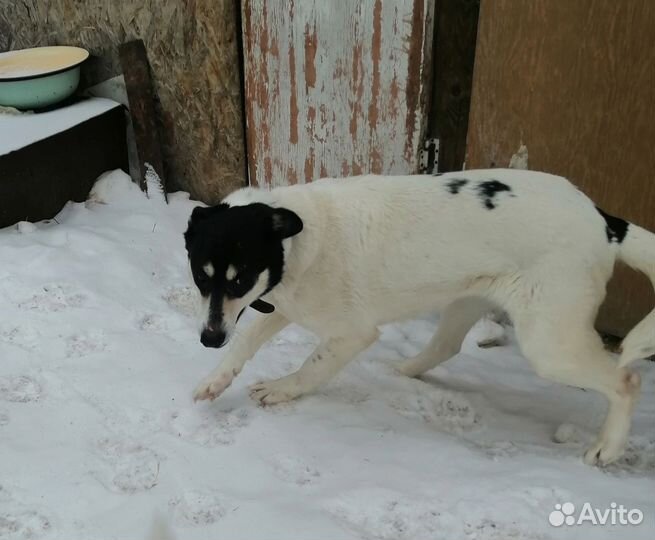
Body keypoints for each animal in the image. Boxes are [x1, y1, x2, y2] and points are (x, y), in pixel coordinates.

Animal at [182, 171, 652, 466]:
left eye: (240, 277)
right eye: (200, 276)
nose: (208, 339)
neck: (298, 241)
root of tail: (603, 220)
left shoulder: (349, 332)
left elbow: (309, 368)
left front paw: (280, 390)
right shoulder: (277, 304)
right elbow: (244, 341)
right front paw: (214, 380)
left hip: (549, 341)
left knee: (626, 379)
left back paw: (608, 448)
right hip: (468, 299)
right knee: (446, 345)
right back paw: (402, 370)